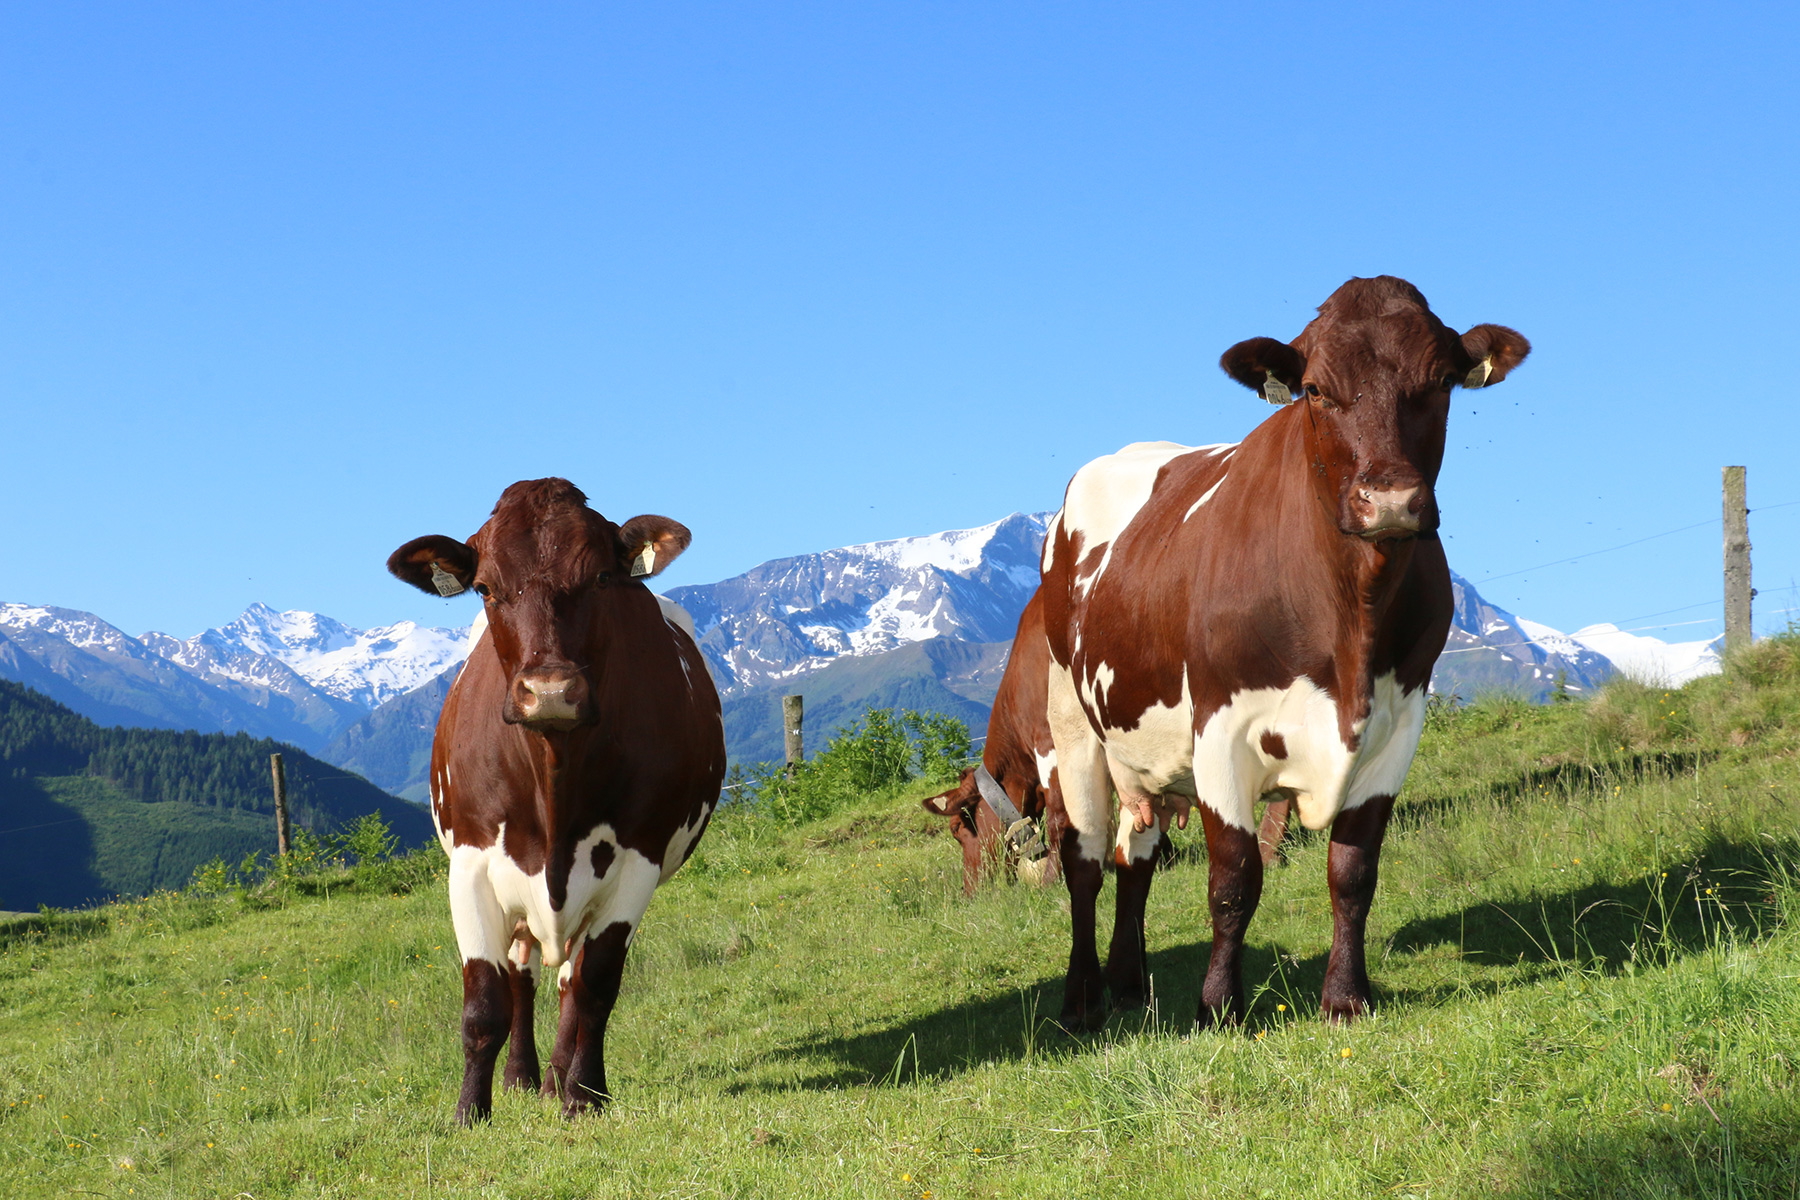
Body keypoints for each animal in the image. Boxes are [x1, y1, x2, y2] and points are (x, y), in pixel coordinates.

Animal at [390, 482, 727, 1129]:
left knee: (570, 979)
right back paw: (522, 1077)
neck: (554, 775)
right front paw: (470, 1111)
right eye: (485, 587)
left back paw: (554, 1080)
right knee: (522, 975)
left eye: (600, 577)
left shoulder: (637, 861)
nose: (549, 691)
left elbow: (595, 987)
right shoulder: (470, 861)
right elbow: (484, 1001)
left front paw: (584, 1096)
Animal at [1036, 277, 1526, 1029]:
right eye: (1315, 390)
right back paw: (1084, 994)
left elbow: (1353, 872)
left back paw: (1129, 981)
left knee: (1134, 855)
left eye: (1442, 380)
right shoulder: (1219, 729)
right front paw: (1218, 1007)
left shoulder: (1399, 726)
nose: (1390, 500)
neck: (1350, 621)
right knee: (1085, 858)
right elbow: (1235, 878)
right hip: (1071, 720)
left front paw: (1346, 996)